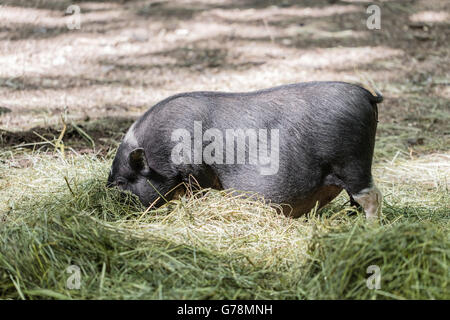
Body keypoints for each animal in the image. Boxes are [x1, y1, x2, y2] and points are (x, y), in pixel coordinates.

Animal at [108, 81, 384, 219]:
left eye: (122, 182)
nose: (108, 192)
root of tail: (366, 95)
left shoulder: (195, 171)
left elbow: (196, 193)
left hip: (352, 161)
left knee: (371, 196)